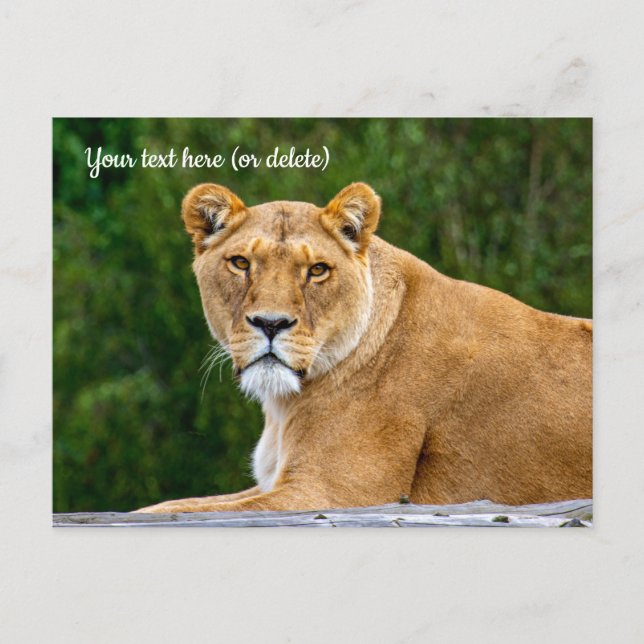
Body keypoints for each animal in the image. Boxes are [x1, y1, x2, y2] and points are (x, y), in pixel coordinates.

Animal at [136, 182, 592, 513]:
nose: (271, 323)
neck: (285, 405)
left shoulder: (333, 493)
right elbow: (169, 505)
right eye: (241, 263)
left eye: (317, 270)